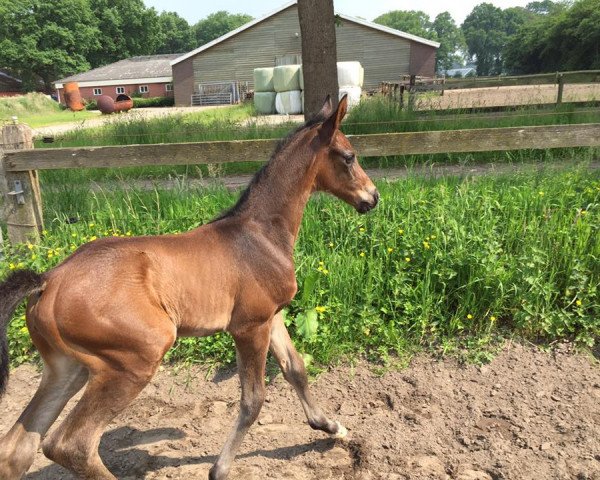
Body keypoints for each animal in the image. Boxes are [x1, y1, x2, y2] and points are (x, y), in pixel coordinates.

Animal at [0, 95, 378, 478]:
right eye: (349, 156)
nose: (373, 197)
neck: (260, 235)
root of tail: (48, 281)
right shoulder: (248, 327)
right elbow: (253, 399)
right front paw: (220, 469)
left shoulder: (271, 316)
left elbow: (296, 369)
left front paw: (332, 427)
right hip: (135, 358)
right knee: (71, 444)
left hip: (65, 367)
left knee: (16, 449)